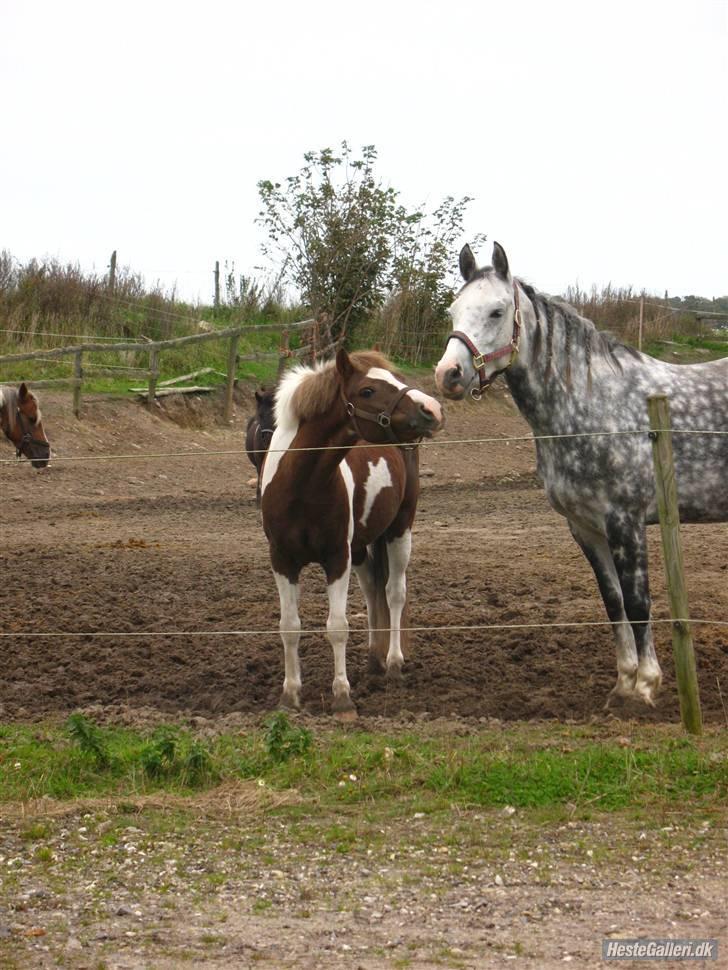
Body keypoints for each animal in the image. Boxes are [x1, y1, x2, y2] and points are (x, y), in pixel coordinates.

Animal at [262, 352, 444, 716]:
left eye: (396, 379)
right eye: (368, 390)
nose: (431, 408)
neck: (300, 485)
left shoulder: (337, 557)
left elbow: (337, 627)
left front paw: (342, 697)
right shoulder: (282, 560)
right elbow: (289, 626)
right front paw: (289, 695)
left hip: (399, 530)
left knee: (394, 593)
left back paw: (393, 663)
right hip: (361, 545)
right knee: (373, 589)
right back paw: (374, 659)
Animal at [438, 241, 728, 708]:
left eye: (497, 312)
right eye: (453, 310)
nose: (447, 375)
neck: (591, 405)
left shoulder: (627, 521)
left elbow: (638, 602)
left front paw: (646, 686)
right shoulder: (584, 527)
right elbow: (613, 602)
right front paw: (624, 682)